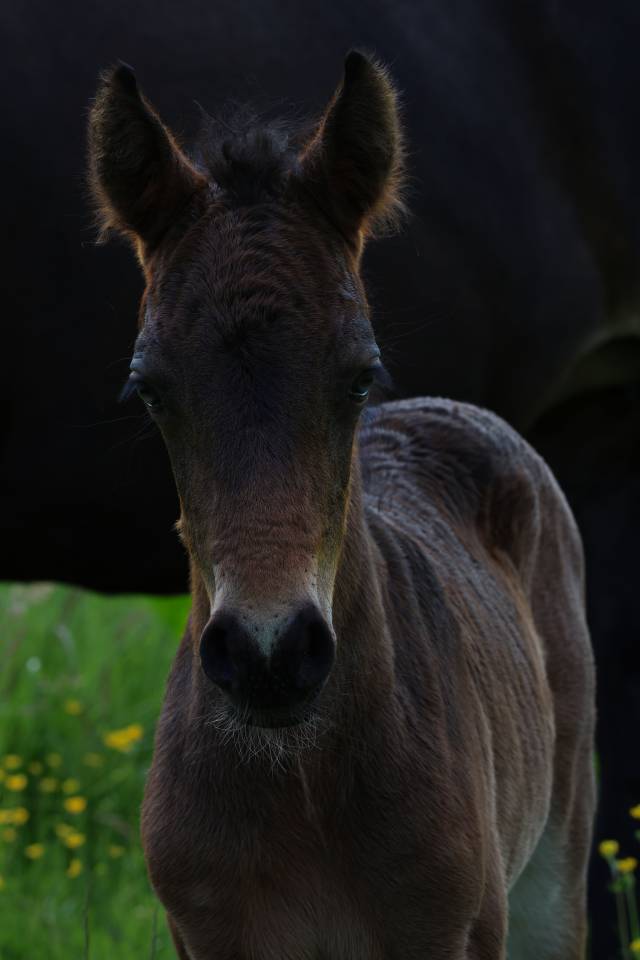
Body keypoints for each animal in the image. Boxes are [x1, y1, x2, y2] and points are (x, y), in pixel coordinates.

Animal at [89, 52, 596, 958]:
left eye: (360, 375)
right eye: (147, 389)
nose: (268, 656)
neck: (301, 786)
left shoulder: (453, 931)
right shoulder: (208, 934)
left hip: (555, 866)